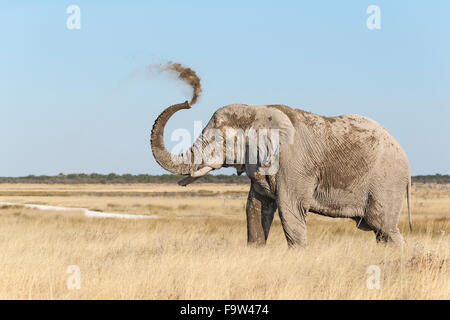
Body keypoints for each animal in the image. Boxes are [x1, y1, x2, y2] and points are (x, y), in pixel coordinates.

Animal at [151, 100, 412, 248]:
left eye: (218, 139)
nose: (188, 102)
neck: (257, 110)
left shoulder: (292, 164)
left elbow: (290, 210)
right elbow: (255, 208)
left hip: (386, 180)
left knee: (383, 226)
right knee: (380, 232)